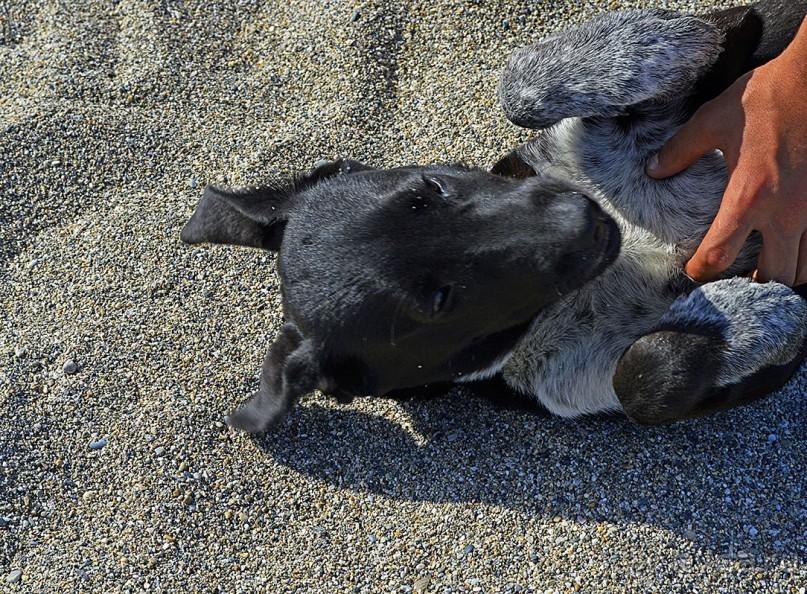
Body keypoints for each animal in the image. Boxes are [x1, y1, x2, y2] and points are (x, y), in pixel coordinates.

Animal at [183, 0, 807, 430]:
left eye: (431, 187)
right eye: (437, 304)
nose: (584, 220)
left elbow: (520, 85)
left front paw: (683, 36)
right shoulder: (581, 387)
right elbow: (646, 377)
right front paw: (759, 309)